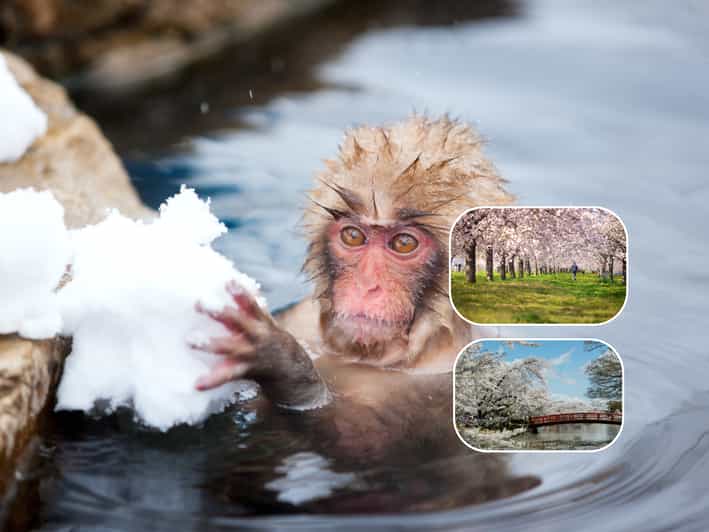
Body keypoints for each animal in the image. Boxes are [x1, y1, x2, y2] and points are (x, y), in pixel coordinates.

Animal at [190, 116, 533, 510]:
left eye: (404, 243)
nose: (367, 285)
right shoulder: (306, 318)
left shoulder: (446, 372)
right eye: (353, 237)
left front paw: (280, 361)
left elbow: (363, 445)